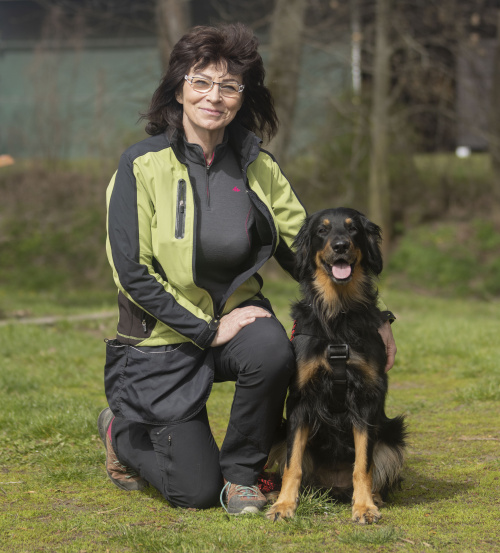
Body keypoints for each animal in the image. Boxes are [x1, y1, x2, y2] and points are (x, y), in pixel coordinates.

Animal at [266, 207, 406, 524]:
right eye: (323, 230)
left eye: (353, 229)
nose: (341, 246)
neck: (337, 316)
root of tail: (332, 487)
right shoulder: (301, 400)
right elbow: (293, 464)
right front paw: (284, 504)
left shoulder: (366, 399)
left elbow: (363, 465)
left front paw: (364, 506)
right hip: (279, 430)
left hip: (393, 434)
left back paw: (373, 497)